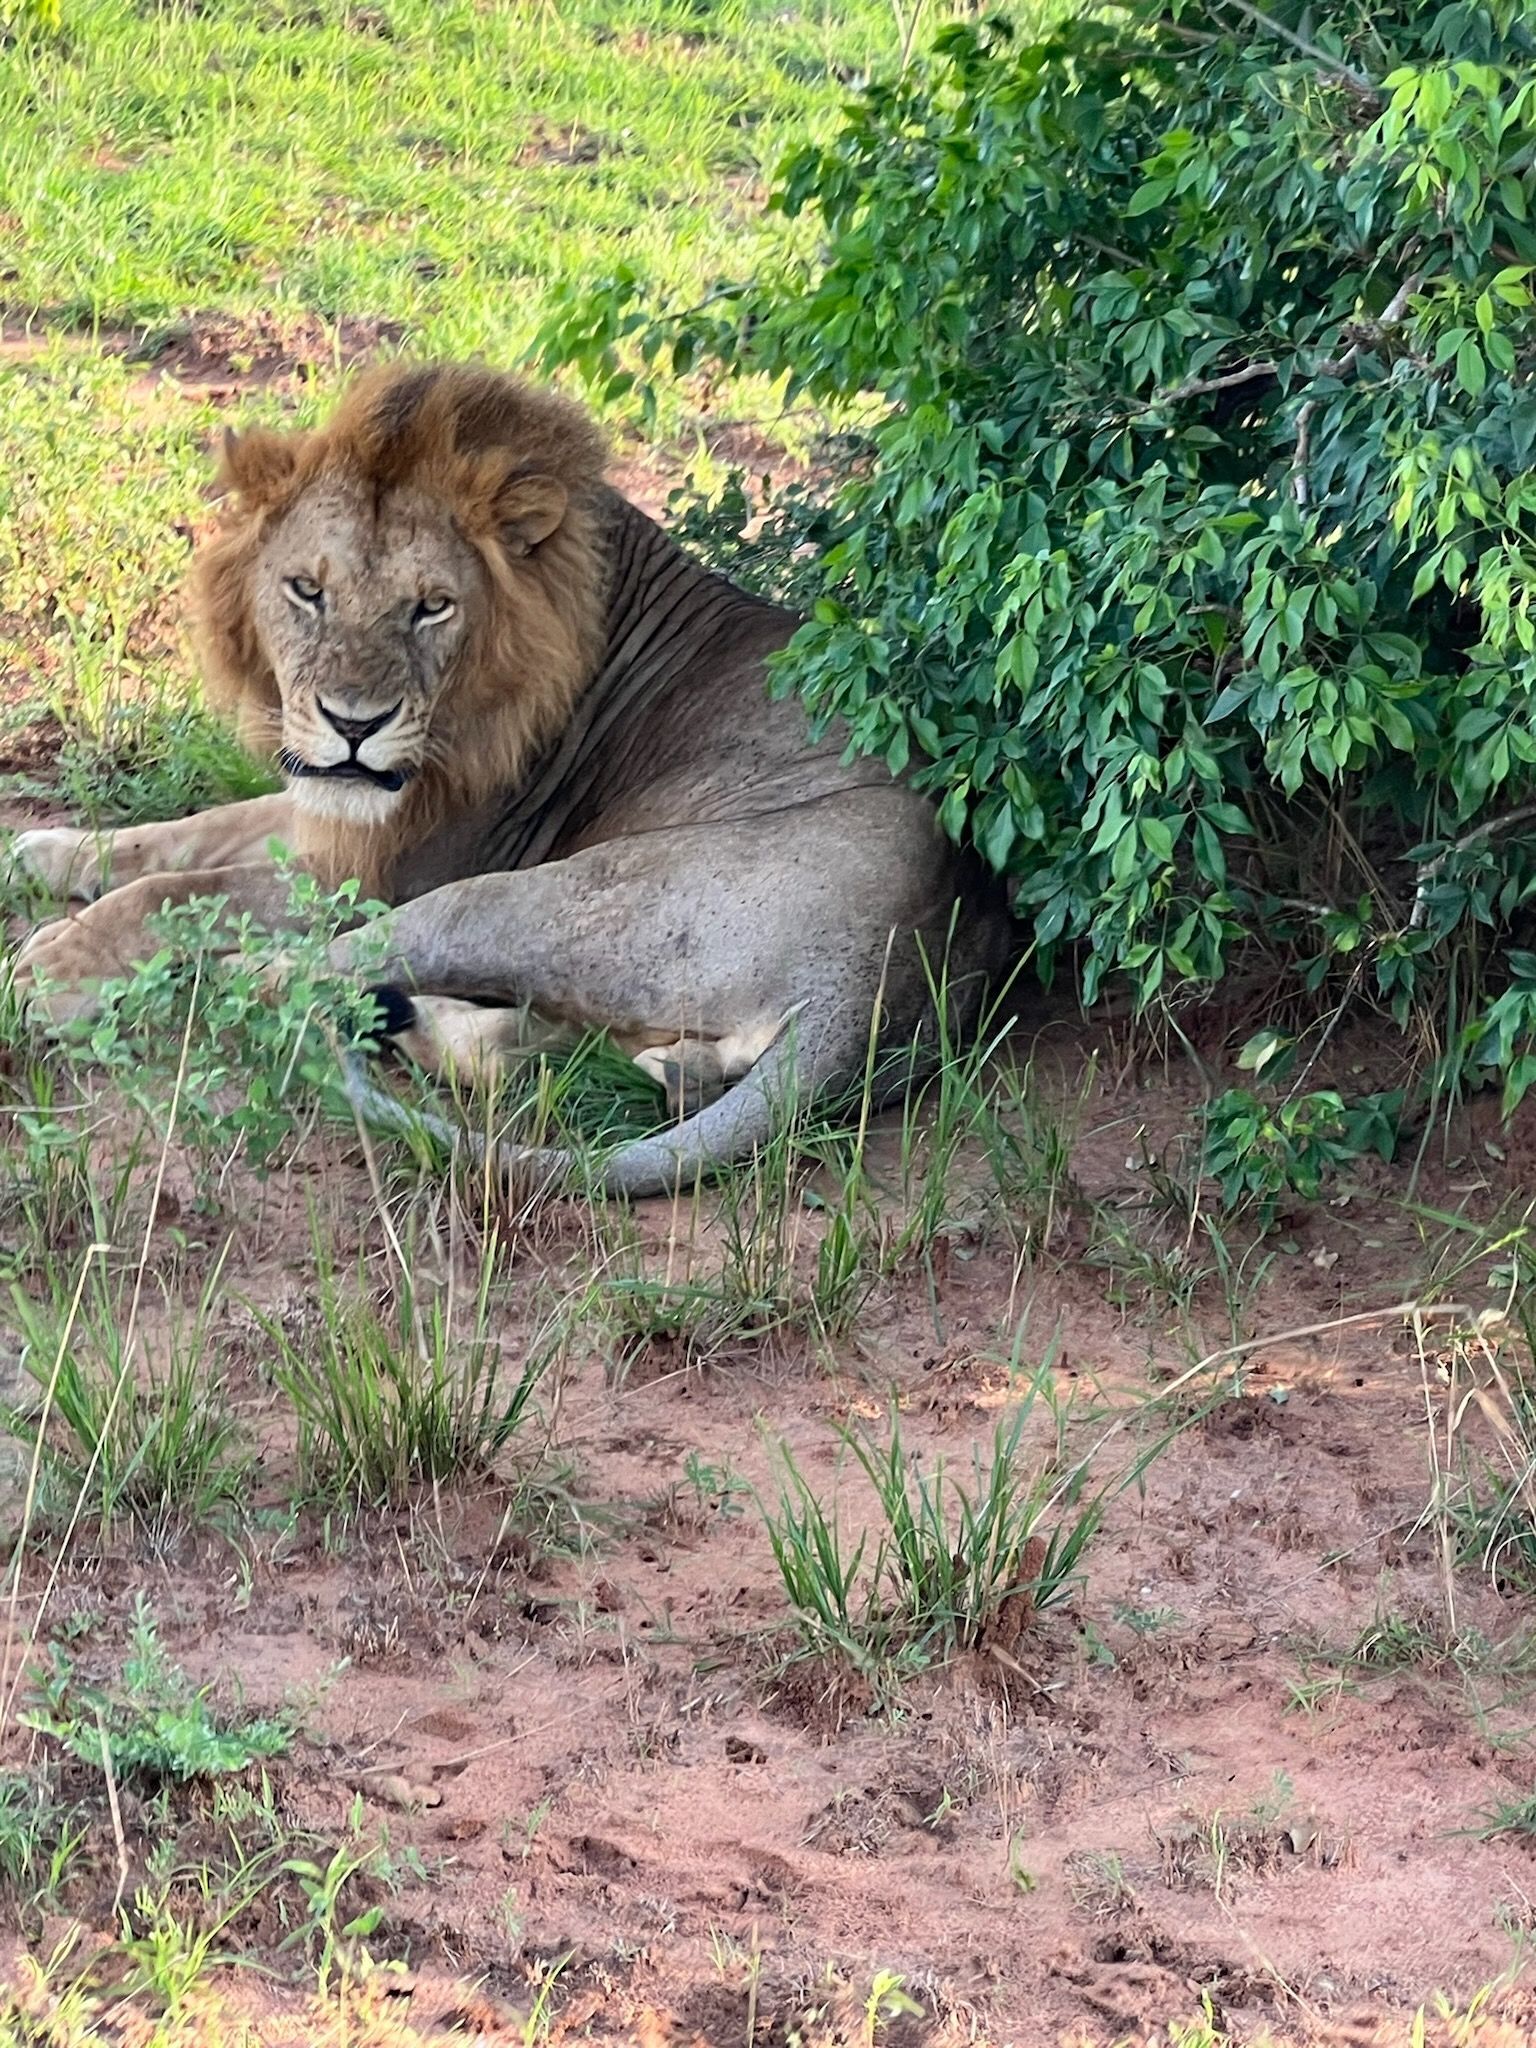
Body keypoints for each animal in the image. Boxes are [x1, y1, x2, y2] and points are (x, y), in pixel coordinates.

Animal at [15, 366, 1024, 1196]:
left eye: (432, 607)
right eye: (307, 590)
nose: (352, 726)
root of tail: (895, 971)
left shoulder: (386, 870)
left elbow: (179, 890)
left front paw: (55, 968)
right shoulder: (332, 812)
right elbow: (183, 833)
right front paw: (46, 853)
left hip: (536, 895)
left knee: (299, 974)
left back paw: (233, 981)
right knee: (574, 1056)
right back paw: (425, 1027)